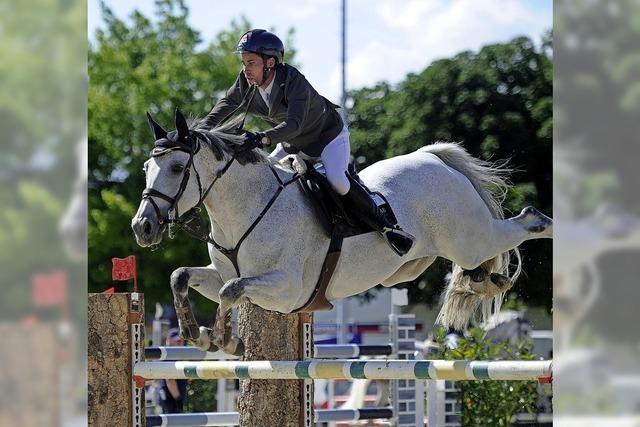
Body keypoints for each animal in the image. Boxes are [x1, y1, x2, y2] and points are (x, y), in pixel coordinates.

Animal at [131, 108, 556, 356]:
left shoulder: (288, 289)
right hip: (422, 261)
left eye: (176, 168)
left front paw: (224, 338)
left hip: (471, 240)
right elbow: (182, 276)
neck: (247, 207)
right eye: (146, 169)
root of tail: (433, 158)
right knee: (478, 268)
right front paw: (195, 332)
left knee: (526, 222)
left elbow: (229, 292)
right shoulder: (226, 274)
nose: (142, 227)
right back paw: (485, 281)